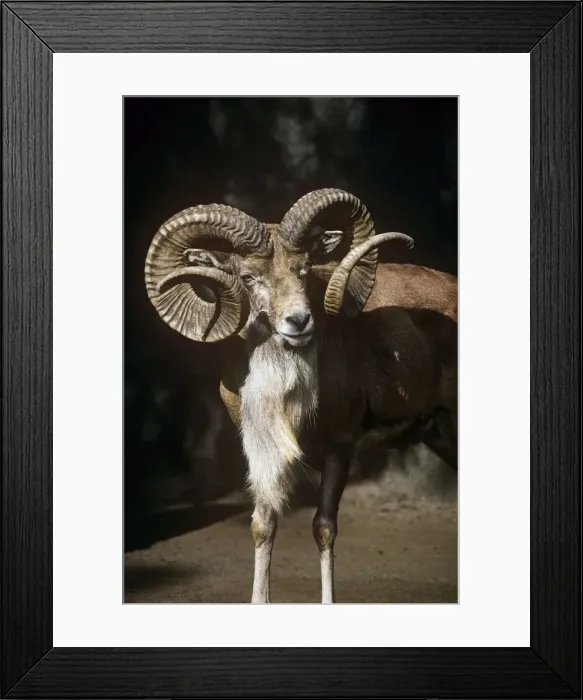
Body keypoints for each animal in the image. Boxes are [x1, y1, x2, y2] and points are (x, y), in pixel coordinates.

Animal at [144, 188, 458, 603]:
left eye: (305, 269)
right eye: (249, 277)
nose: (299, 321)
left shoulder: (340, 447)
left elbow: (324, 528)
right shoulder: (262, 450)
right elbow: (263, 524)